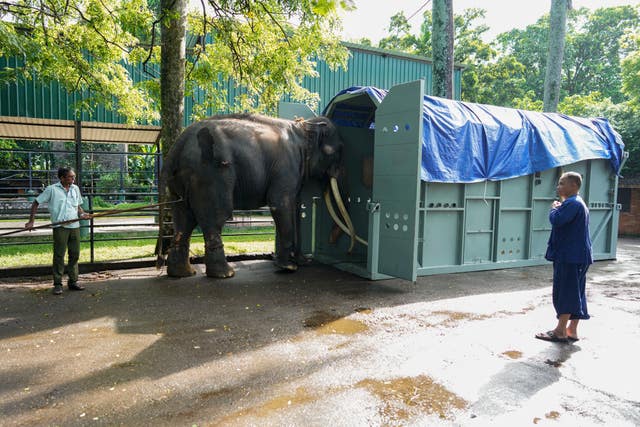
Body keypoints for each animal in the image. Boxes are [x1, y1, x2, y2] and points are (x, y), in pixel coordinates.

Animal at [162, 113, 356, 280]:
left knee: (183, 219)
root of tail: (177, 146)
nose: (347, 251)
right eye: (338, 150)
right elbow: (280, 203)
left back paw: (182, 273)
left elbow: (295, 208)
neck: (303, 127)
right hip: (210, 174)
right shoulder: (286, 166)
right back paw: (225, 274)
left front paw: (302, 262)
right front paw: (288, 267)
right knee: (215, 217)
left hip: (179, 183)